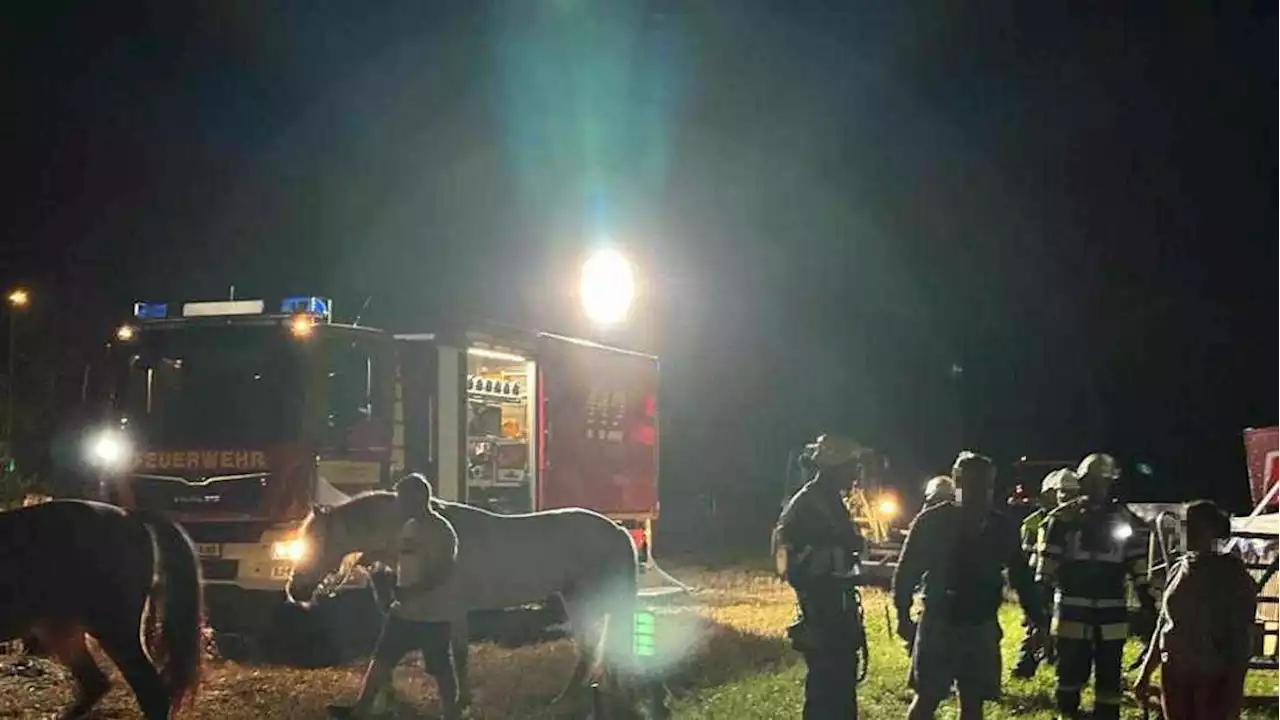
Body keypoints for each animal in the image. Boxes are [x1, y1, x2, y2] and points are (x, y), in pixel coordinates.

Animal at [282, 489, 637, 707]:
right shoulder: (455, 613)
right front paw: (463, 698)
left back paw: (567, 697)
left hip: (587, 600)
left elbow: (458, 655)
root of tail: (619, 530)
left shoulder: (452, 610)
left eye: (316, 543)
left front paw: (461, 699)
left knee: (591, 646)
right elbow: (459, 653)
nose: (295, 591)